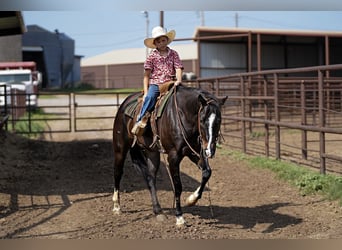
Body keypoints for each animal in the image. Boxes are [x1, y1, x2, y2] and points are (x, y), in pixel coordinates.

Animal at [112, 84, 228, 227]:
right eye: (202, 120)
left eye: (219, 120)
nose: (210, 150)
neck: (183, 116)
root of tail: (124, 104)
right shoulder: (173, 157)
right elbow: (177, 186)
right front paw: (179, 217)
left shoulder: (193, 152)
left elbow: (207, 172)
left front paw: (192, 200)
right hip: (120, 148)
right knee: (118, 172)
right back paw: (117, 206)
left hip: (152, 152)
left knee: (151, 177)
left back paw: (158, 211)